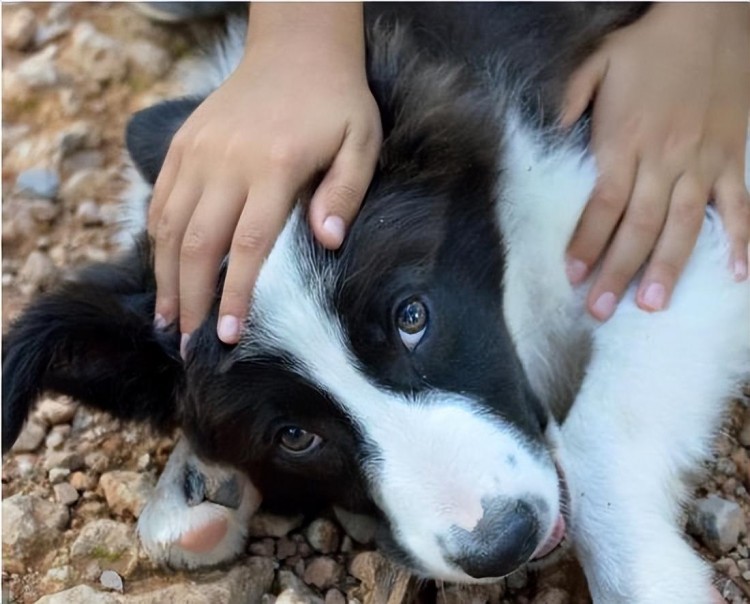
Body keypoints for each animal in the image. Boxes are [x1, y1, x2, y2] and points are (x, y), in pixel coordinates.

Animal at [2, 5, 748, 604]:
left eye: (412, 317)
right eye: (294, 436)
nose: (503, 543)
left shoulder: (666, 232)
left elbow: (598, 436)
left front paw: (651, 580)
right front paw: (196, 485)